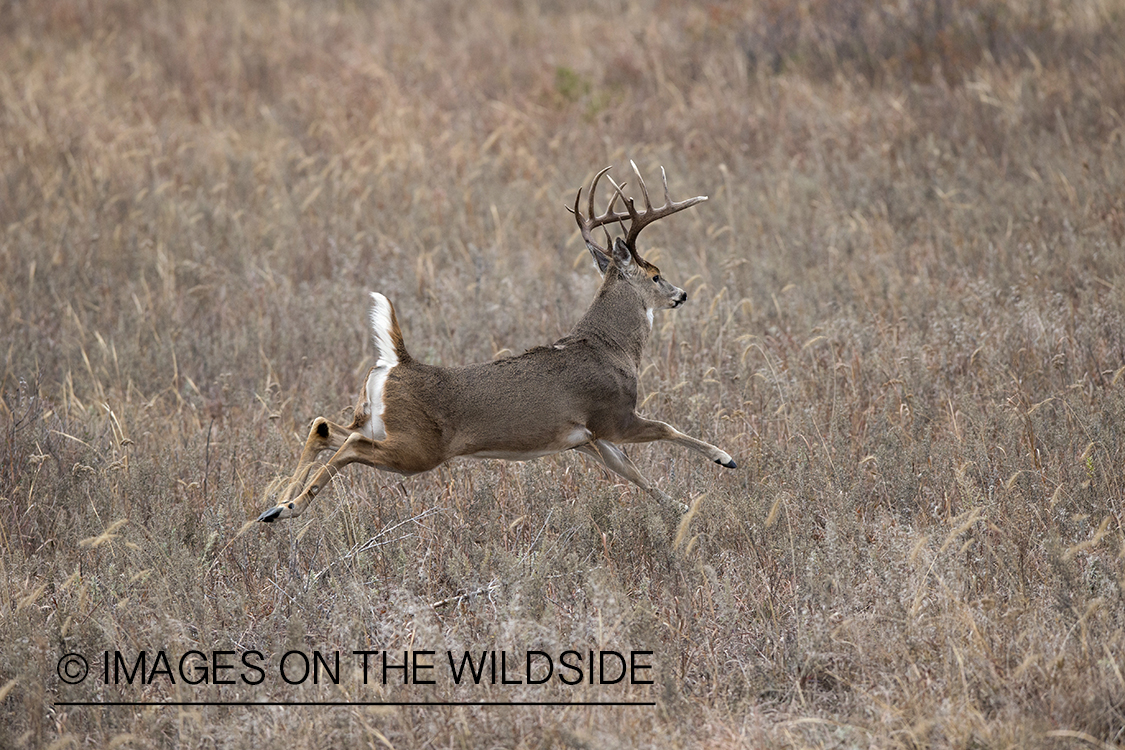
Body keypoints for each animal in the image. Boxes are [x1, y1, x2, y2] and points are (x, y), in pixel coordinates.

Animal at [256, 163, 738, 526]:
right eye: (655, 274)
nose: (681, 294)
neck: (612, 349)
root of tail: (398, 362)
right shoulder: (613, 415)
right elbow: (666, 429)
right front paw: (724, 458)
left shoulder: (586, 437)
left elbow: (635, 474)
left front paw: (682, 510)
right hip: (419, 449)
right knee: (349, 447)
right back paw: (289, 506)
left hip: (378, 423)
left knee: (325, 427)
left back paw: (275, 505)